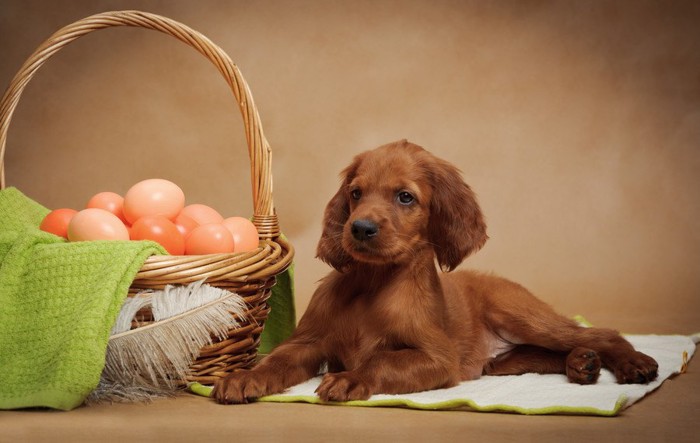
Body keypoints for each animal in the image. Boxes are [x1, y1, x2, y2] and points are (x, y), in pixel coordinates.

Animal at [212, 140, 656, 404]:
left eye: (405, 197)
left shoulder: (437, 358)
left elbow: (382, 361)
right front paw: (243, 377)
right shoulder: (307, 342)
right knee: (551, 353)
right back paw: (582, 364)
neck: (373, 282)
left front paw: (350, 379)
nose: (360, 228)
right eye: (356, 193)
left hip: (523, 316)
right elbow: (276, 361)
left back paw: (631, 363)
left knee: (600, 332)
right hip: (502, 361)